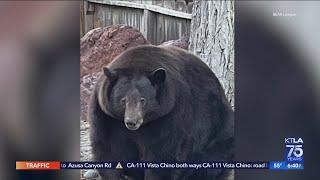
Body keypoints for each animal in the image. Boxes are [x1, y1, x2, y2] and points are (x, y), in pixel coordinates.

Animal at [89, 44, 234, 179]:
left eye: (143, 100)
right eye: (123, 100)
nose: (132, 122)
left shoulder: (171, 112)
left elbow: (163, 151)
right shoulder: (106, 115)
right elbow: (107, 147)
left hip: (216, 128)